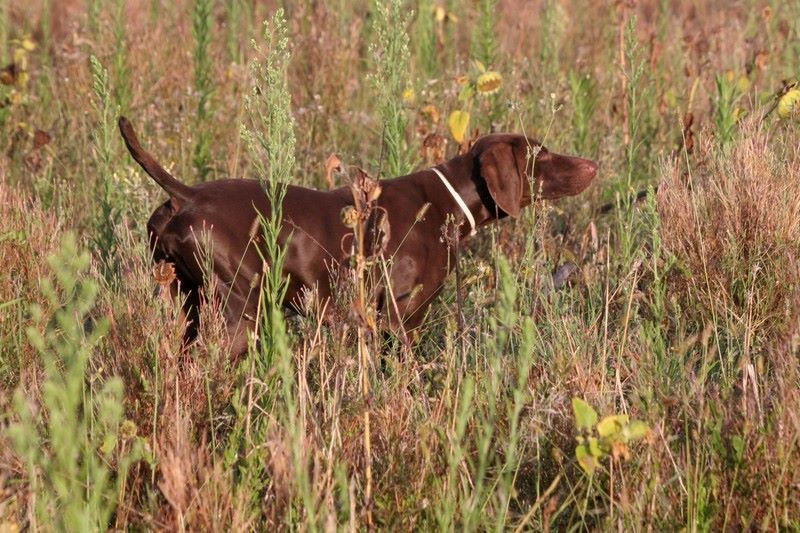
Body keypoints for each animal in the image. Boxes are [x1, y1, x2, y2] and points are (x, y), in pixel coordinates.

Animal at [117, 118, 592, 356]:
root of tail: (187, 195)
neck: (445, 201)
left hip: (189, 303)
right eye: (540, 152)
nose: (592, 165)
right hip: (237, 309)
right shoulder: (401, 315)